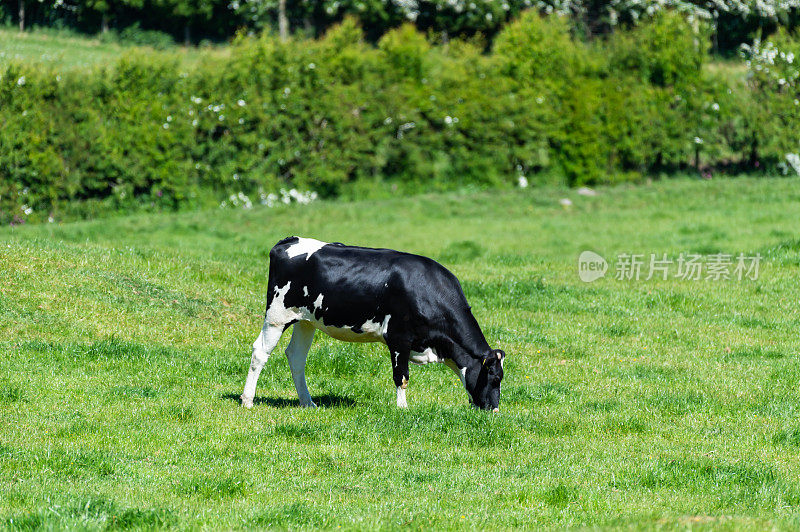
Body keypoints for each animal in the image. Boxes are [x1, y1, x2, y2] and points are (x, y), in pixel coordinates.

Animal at [241, 236, 506, 412]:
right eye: (494, 378)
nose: (493, 411)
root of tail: (287, 241)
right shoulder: (399, 337)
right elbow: (401, 377)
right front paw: (402, 409)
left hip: (306, 320)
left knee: (296, 356)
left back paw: (308, 402)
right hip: (277, 315)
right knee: (260, 352)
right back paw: (247, 400)